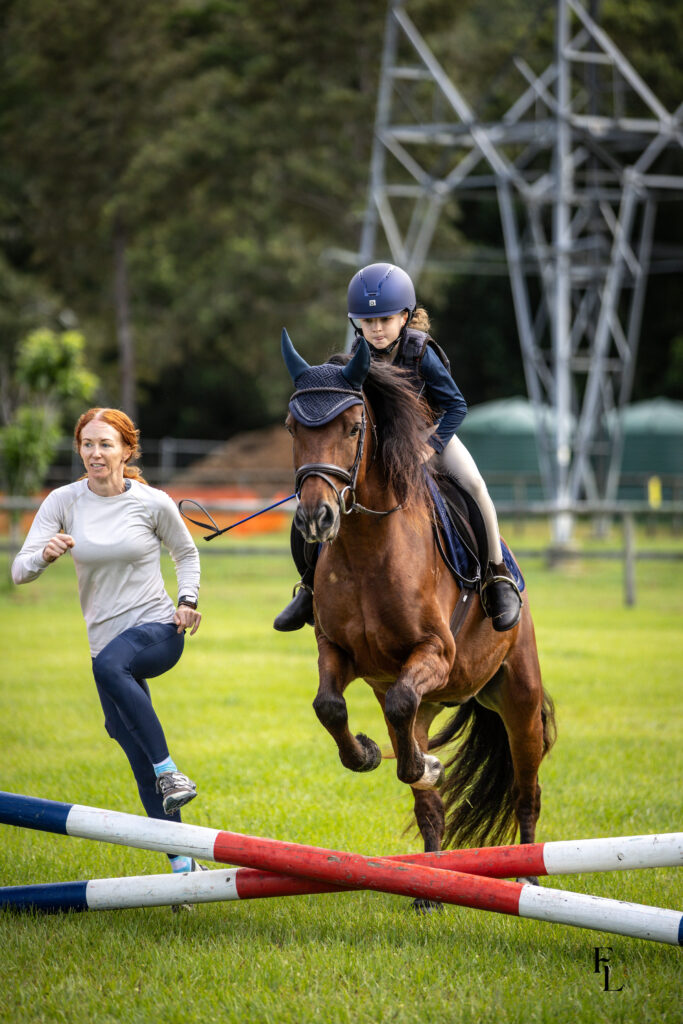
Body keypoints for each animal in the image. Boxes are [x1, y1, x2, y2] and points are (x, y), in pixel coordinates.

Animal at [281, 329, 556, 869]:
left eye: (353, 427)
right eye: (292, 428)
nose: (316, 519)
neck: (367, 548)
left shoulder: (437, 651)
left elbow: (400, 703)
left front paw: (427, 765)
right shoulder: (338, 650)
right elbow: (329, 706)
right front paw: (367, 753)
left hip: (519, 695)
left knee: (526, 793)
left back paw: (531, 875)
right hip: (430, 701)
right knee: (427, 796)